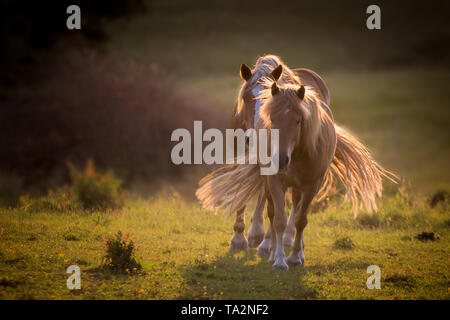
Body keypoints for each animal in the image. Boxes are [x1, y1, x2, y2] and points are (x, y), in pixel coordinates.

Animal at [197, 55, 398, 270]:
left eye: (266, 100)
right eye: (245, 97)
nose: (255, 136)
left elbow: (281, 209)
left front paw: (262, 239)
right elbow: (243, 196)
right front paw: (239, 239)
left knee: (292, 207)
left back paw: (281, 242)